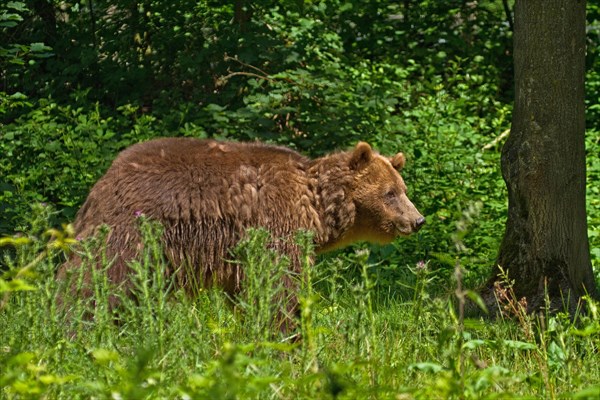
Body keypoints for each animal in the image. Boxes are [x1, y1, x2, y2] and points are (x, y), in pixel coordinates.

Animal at [59, 138, 426, 332]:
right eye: (390, 193)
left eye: (403, 189)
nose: (418, 220)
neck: (316, 207)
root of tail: (105, 178)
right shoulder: (276, 223)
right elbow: (280, 284)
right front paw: (287, 330)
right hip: (133, 227)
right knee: (96, 274)